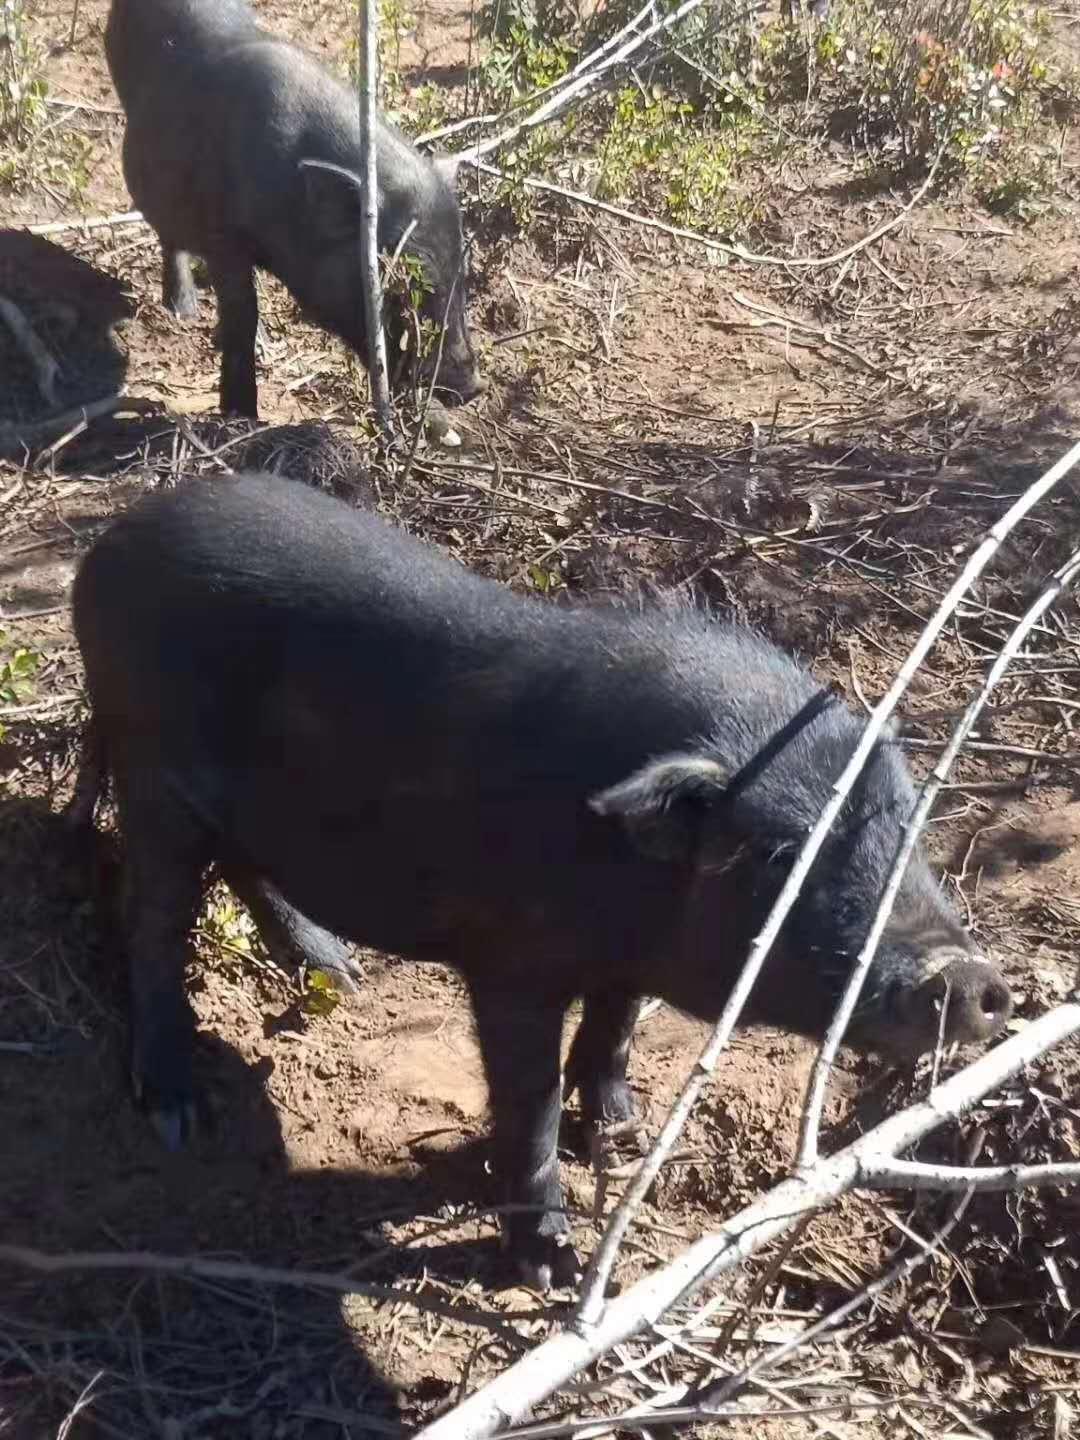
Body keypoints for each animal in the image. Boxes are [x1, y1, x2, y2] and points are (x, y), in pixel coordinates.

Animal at [74, 478, 1013, 1290]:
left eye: (908, 826)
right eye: (780, 856)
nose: (970, 977)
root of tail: (109, 544)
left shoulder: (625, 962)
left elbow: (617, 1024)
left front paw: (623, 1135)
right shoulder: (510, 960)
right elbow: (527, 1101)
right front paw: (551, 1268)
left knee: (243, 867)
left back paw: (338, 971)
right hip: (153, 767)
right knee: (150, 916)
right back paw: (179, 1111)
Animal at [105, 0, 486, 417]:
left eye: (462, 275)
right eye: (406, 288)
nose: (472, 387)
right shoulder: (224, 237)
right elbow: (243, 311)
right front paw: (242, 415)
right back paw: (183, 310)